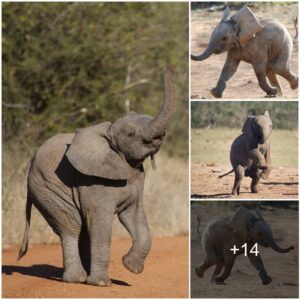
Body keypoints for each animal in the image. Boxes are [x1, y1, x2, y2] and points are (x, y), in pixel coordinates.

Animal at [18, 67, 173, 286]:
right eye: (131, 133)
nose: (169, 69)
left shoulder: (136, 178)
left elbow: (133, 216)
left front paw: (130, 267)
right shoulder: (94, 180)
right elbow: (100, 222)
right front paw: (101, 284)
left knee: (80, 227)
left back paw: (84, 277)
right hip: (46, 188)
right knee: (71, 225)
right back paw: (78, 279)